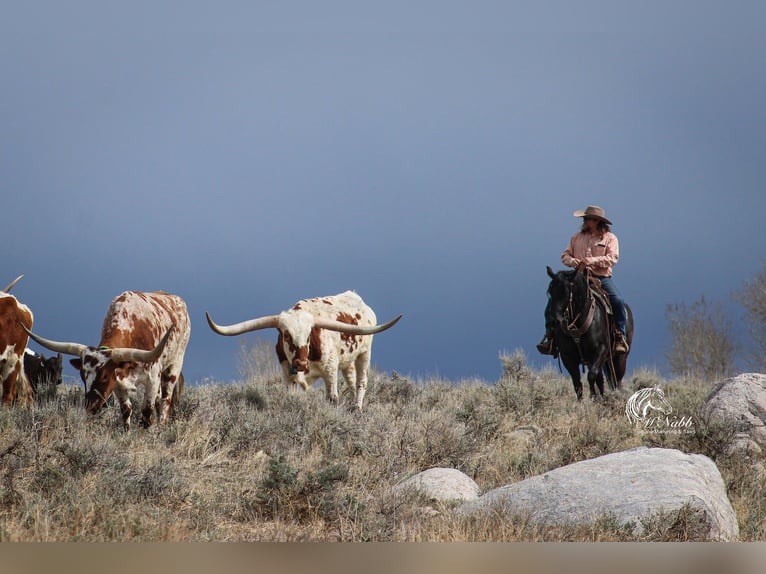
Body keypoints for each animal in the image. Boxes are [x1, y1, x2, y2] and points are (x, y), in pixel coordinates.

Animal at [544, 266, 634, 400]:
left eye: (566, 291)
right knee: (603, 379)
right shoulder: (567, 357)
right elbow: (577, 382)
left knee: (616, 380)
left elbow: (591, 375)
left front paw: (593, 396)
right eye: (550, 291)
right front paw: (582, 401)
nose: (552, 320)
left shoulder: (601, 350)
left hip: (620, 358)